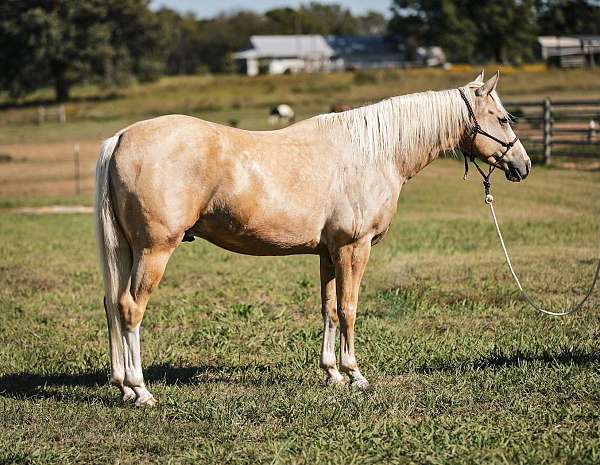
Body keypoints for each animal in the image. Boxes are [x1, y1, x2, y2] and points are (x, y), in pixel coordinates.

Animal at [95, 70, 528, 404]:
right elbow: (350, 309)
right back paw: (141, 390)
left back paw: (122, 387)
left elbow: (330, 310)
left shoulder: (329, 253)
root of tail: (120, 137)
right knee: (131, 308)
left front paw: (332, 373)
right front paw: (355, 375)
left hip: (129, 251)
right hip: (154, 250)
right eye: (503, 119)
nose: (522, 166)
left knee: (112, 303)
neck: (375, 152)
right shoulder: (354, 248)